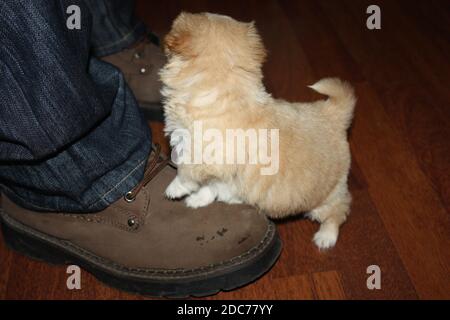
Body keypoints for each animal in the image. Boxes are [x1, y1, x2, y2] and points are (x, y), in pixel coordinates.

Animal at [160, 12, 356, 249]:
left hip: (326, 197)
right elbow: (211, 186)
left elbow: (186, 173)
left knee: (338, 212)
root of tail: (333, 114)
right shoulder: (222, 170)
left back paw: (326, 237)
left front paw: (174, 188)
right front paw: (198, 199)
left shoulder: (199, 153)